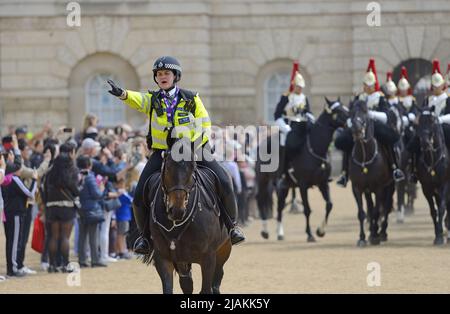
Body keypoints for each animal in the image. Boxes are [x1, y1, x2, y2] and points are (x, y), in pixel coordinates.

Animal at [146, 138, 232, 294]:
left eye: (192, 167)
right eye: (168, 167)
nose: (176, 210)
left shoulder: (208, 258)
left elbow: (206, 289)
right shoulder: (163, 258)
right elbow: (170, 288)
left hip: (224, 248)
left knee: (217, 280)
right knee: (187, 283)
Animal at [256, 97, 348, 240]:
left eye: (344, 107)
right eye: (338, 110)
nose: (354, 120)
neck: (315, 149)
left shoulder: (323, 183)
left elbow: (329, 205)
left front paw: (320, 231)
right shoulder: (303, 185)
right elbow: (307, 209)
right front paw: (310, 234)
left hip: (285, 186)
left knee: (280, 206)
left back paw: (280, 233)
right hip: (263, 180)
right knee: (261, 200)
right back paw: (265, 231)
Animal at [348, 100, 394, 248]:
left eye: (366, 112)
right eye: (351, 113)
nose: (357, 131)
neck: (364, 156)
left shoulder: (379, 188)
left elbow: (376, 212)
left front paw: (375, 236)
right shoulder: (357, 188)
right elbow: (362, 213)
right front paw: (362, 237)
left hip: (390, 186)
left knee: (385, 207)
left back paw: (382, 232)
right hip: (368, 190)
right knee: (371, 206)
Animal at [414, 108, 450, 245]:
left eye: (432, 121)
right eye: (418, 123)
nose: (425, 144)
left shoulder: (445, 185)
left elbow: (442, 209)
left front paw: (441, 236)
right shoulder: (427, 189)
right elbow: (433, 211)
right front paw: (438, 235)